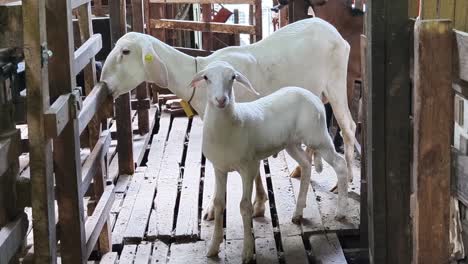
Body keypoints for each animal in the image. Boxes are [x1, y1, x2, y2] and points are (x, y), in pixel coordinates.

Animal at [98, 17, 354, 221]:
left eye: (126, 52)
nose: (104, 84)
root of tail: (339, 36)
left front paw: (219, 208)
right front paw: (260, 203)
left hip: (336, 81)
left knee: (348, 127)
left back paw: (346, 180)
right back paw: (304, 170)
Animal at [190, 61, 348, 262]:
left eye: (232, 77)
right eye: (206, 77)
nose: (221, 100)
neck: (230, 125)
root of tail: (313, 96)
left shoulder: (248, 167)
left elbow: (245, 206)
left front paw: (247, 251)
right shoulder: (219, 167)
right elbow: (219, 204)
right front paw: (212, 248)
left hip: (317, 137)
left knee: (340, 165)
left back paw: (341, 212)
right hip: (291, 143)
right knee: (305, 164)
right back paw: (298, 212)